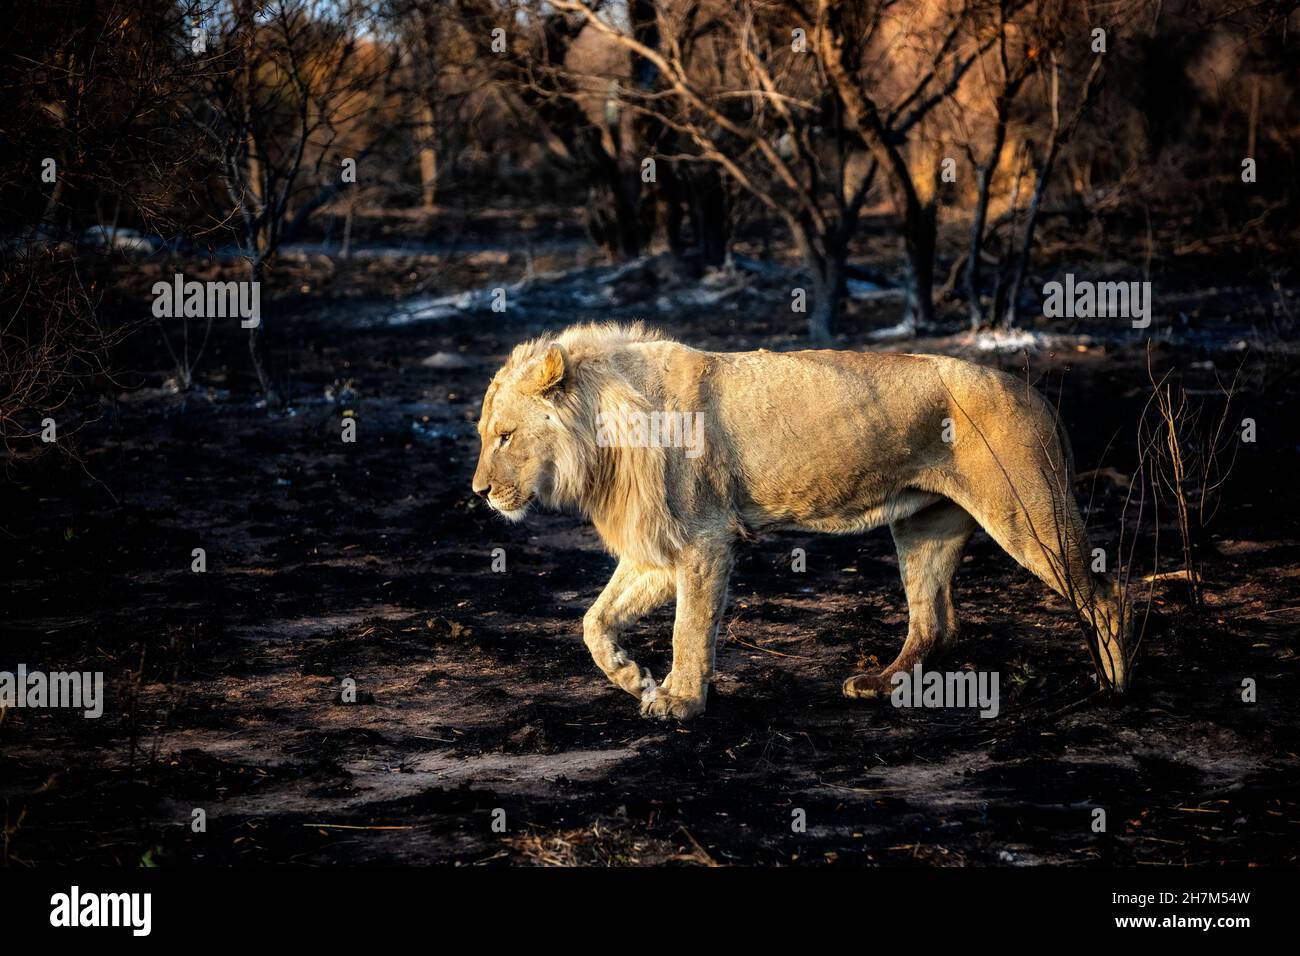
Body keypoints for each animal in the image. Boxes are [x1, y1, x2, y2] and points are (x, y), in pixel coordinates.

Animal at [473, 321, 1133, 717]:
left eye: (505, 435)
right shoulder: (661, 549)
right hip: (925, 527)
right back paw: (879, 683)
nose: (480, 492)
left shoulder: (704, 540)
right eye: (484, 435)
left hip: (1027, 513)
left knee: (1105, 595)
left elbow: (689, 629)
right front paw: (632, 677)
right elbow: (593, 621)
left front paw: (682, 701)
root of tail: (1036, 393)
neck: (605, 429)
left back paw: (1115, 688)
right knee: (936, 623)